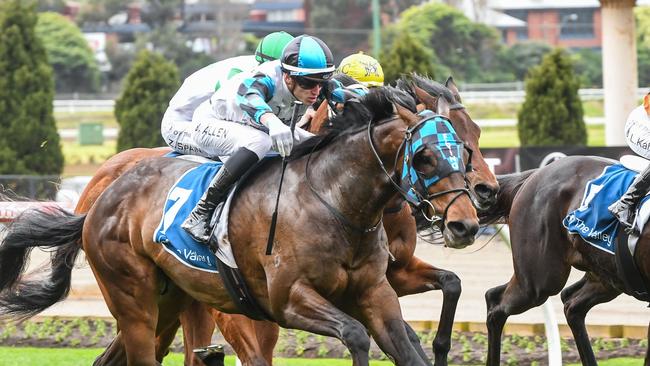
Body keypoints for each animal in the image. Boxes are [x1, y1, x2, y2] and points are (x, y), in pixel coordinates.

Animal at [0, 88, 476, 366]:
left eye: (464, 150)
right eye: (424, 157)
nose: (465, 224)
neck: (334, 201)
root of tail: (100, 202)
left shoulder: (376, 293)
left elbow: (408, 342)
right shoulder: (289, 299)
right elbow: (356, 336)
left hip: (170, 300)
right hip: (134, 302)